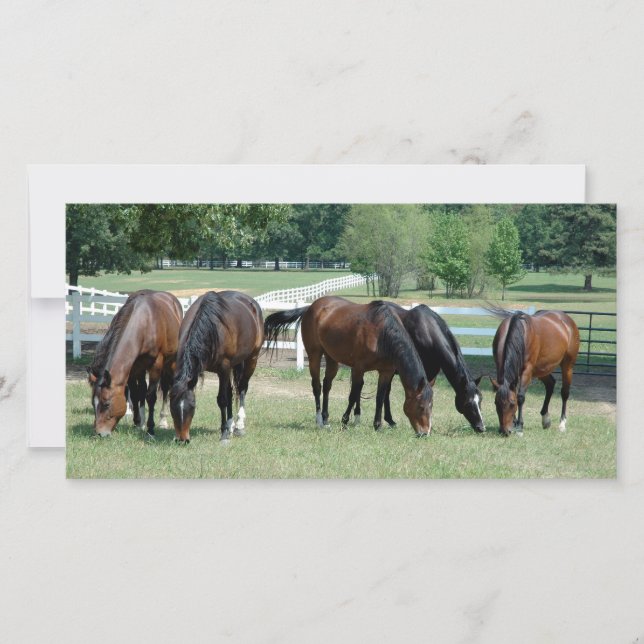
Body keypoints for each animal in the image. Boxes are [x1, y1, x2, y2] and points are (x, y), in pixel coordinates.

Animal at [87, 290, 183, 438]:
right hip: (141, 369)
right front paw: (138, 423)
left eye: (106, 404)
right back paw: (142, 422)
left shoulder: (156, 364)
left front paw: (151, 429)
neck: (144, 322)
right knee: (142, 389)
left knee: (166, 387)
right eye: (93, 403)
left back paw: (163, 420)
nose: (99, 433)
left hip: (170, 363)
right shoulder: (132, 367)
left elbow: (151, 396)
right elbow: (135, 394)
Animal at [170, 291, 264, 444]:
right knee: (232, 392)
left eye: (192, 406)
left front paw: (224, 434)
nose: (182, 440)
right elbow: (227, 397)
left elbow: (222, 399)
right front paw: (226, 428)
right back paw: (231, 425)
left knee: (242, 389)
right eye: (172, 406)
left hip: (252, 359)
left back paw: (239, 426)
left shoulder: (223, 368)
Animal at [264, 296, 433, 436]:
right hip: (314, 355)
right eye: (421, 406)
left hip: (332, 359)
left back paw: (326, 419)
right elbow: (353, 395)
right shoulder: (358, 369)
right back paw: (319, 420)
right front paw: (344, 421)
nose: (425, 433)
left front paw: (377, 426)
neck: (381, 334)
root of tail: (311, 307)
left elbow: (380, 398)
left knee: (327, 385)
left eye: (431, 406)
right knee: (317, 386)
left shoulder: (386, 372)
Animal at [381, 303, 485, 432]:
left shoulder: (432, 375)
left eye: (480, 399)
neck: (428, 333)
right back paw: (389, 420)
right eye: (468, 403)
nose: (481, 427)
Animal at [489, 307, 580, 436]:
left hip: (567, 366)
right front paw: (515, 423)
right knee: (550, 384)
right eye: (496, 403)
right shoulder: (501, 367)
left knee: (565, 392)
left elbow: (520, 396)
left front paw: (519, 427)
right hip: (541, 369)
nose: (504, 431)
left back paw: (562, 423)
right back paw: (545, 419)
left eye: (512, 404)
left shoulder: (527, 370)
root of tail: (567, 320)